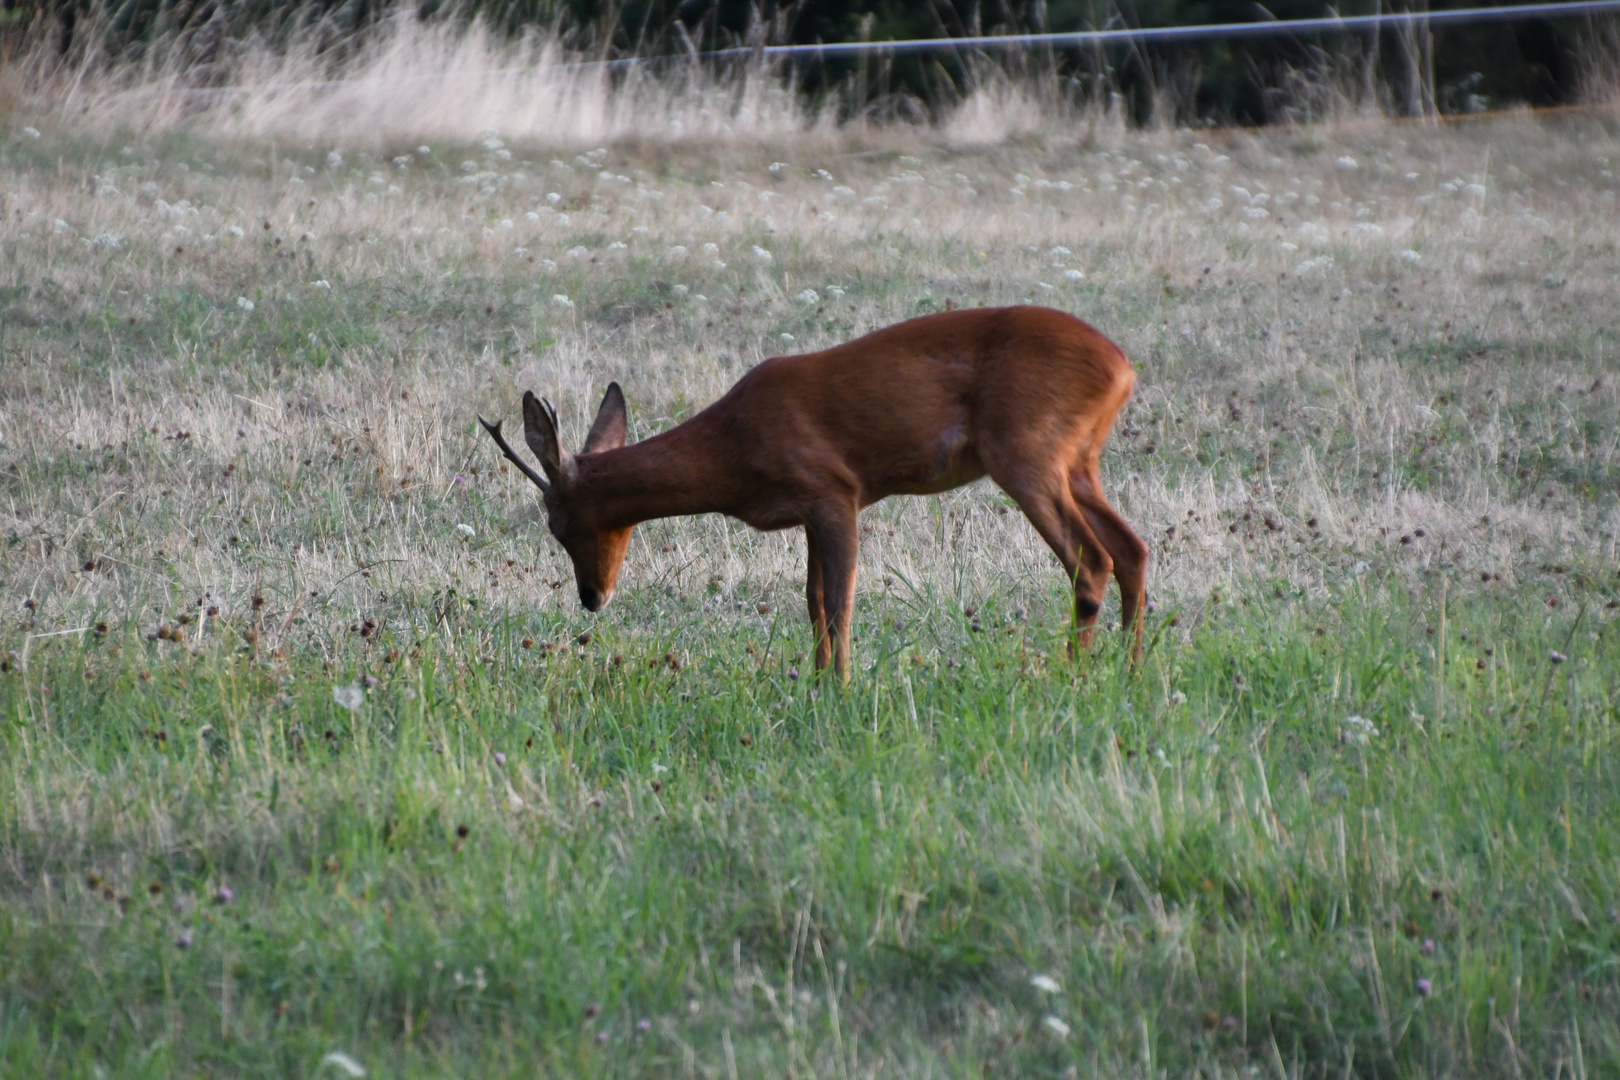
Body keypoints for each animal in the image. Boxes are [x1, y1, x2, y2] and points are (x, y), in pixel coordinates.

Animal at [479, 306, 1153, 676]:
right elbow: (812, 601)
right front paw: (816, 686)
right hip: (1079, 459)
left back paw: (1070, 678)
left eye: (558, 524)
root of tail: (1123, 368)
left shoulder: (836, 490)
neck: (734, 443)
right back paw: (1130, 674)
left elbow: (840, 602)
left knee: (1090, 560)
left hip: (1026, 451)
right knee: (1132, 548)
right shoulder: (807, 511)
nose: (592, 597)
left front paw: (842, 691)